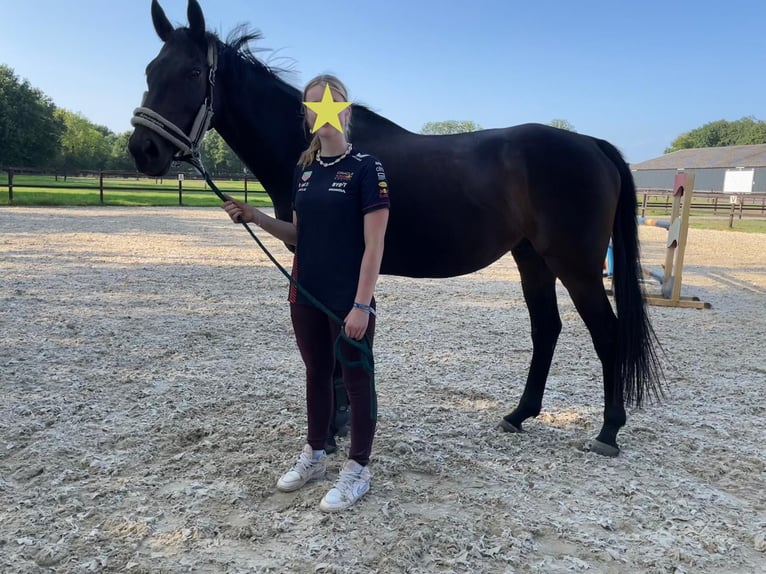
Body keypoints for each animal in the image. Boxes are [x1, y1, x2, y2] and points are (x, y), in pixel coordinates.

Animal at [128, 0, 666, 457]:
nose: (143, 150)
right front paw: (344, 420)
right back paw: (518, 415)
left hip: (576, 266)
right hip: (532, 258)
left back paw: (608, 431)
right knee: (546, 329)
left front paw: (332, 429)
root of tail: (592, 144)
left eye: (192, 72)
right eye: (151, 71)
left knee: (607, 335)